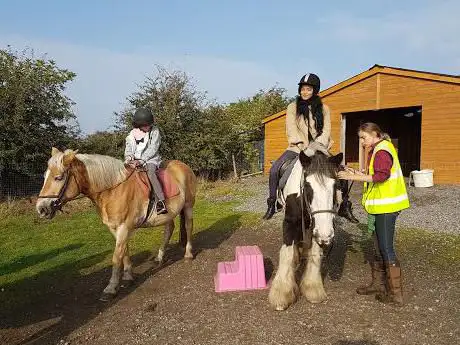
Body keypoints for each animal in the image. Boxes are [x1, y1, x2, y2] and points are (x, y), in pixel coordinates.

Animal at [34, 146, 196, 300]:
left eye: (59, 177)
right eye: (45, 176)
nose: (41, 209)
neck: (112, 190)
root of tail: (183, 165)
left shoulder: (124, 227)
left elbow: (116, 257)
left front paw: (110, 288)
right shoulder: (115, 228)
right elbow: (124, 252)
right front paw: (128, 277)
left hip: (188, 206)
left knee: (188, 227)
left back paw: (188, 254)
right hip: (168, 214)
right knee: (169, 229)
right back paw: (159, 258)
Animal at [270, 150, 342, 310]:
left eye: (335, 185)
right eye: (308, 186)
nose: (327, 234)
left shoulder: (316, 229)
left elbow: (315, 254)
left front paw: (312, 287)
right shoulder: (290, 222)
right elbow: (287, 253)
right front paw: (281, 293)